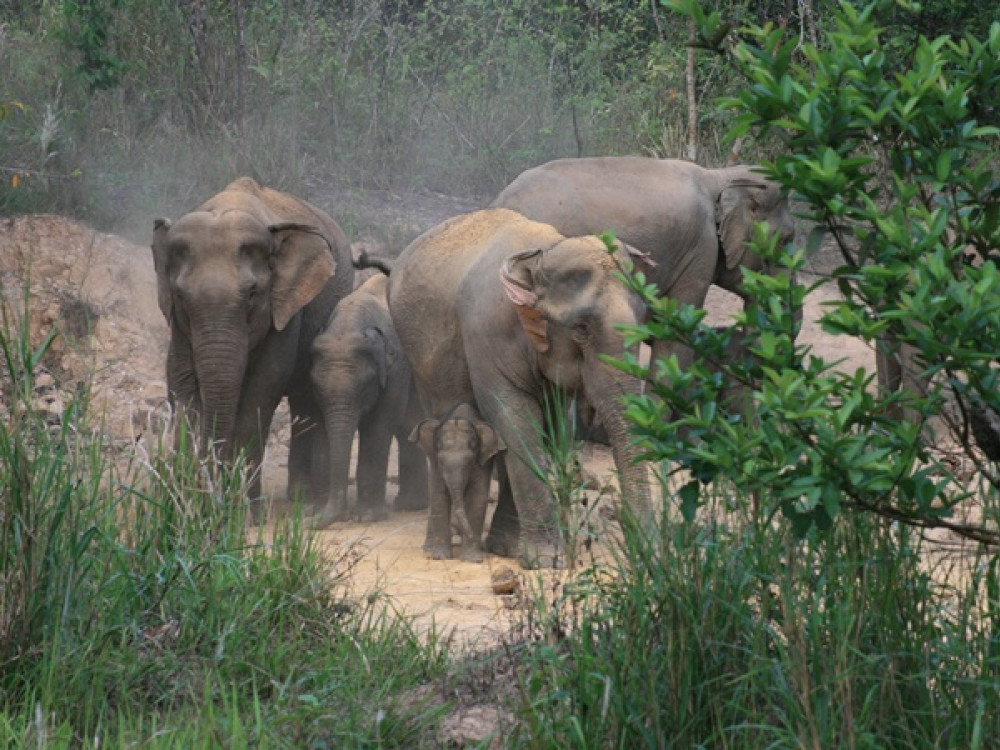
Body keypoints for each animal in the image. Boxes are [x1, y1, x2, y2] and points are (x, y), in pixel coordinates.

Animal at [146, 177, 354, 516]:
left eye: (253, 292)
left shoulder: (285, 307)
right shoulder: (177, 323)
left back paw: (305, 496)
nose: (209, 496)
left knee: (305, 399)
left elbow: (263, 386)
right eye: (180, 296)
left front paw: (244, 513)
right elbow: (181, 381)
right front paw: (185, 503)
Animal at [308, 274, 426, 524]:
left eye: (364, 388)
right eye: (317, 390)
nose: (308, 520)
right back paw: (409, 505)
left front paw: (367, 517)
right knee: (408, 426)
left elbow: (379, 425)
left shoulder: (397, 367)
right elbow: (323, 426)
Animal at [412, 402, 508, 560]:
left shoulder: (482, 462)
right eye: (441, 462)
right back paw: (428, 550)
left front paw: (472, 559)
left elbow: (477, 495)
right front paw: (439, 556)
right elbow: (439, 494)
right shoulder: (435, 461)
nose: (482, 544)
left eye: (469, 462)